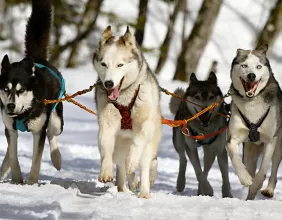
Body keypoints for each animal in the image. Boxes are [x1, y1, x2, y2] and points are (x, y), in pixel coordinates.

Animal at [0, 0, 63, 184]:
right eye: (6, 89)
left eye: (21, 90)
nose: (11, 106)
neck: (23, 114)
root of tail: (37, 58)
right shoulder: (10, 128)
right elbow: (13, 155)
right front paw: (16, 178)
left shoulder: (38, 132)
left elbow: (36, 161)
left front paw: (32, 183)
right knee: (9, 150)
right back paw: (4, 168)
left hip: (56, 121)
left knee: (51, 133)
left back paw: (57, 159)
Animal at [93, 26, 162, 199]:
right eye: (103, 64)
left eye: (120, 65)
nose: (108, 83)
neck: (124, 98)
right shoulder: (106, 124)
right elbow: (105, 148)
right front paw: (105, 171)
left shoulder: (147, 124)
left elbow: (139, 140)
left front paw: (132, 161)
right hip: (119, 147)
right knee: (122, 167)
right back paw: (124, 186)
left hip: (148, 147)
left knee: (144, 166)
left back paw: (144, 192)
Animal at [227, 44, 282, 199]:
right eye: (244, 65)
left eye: (258, 66)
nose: (251, 75)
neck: (252, 102)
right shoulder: (233, 138)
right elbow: (234, 157)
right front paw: (245, 178)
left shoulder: (270, 140)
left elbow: (263, 170)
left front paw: (257, 183)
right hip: (249, 152)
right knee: (250, 166)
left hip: (279, 145)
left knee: (274, 168)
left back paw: (268, 190)